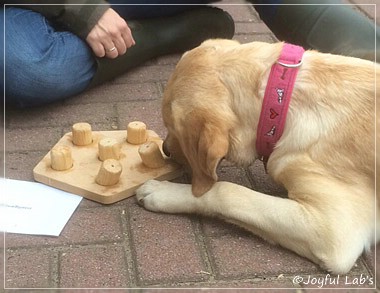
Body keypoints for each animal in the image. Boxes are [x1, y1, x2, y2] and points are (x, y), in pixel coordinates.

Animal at [135, 40, 378, 272]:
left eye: (171, 127)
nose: (165, 149)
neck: (282, 102)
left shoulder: (333, 231)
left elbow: (224, 191)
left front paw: (162, 191)